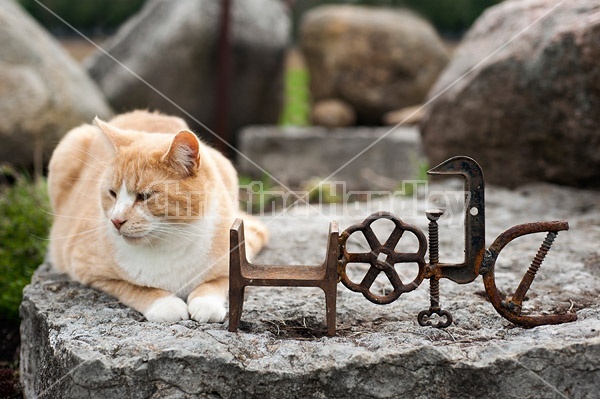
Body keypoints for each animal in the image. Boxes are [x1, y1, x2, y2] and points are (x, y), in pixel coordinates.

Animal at [48, 111, 268, 324]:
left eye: (144, 196)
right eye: (112, 193)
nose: (116, 221)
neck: (170, 242)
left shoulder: (233, 258)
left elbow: (216, 283)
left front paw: (206, 303)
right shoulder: (88, 270)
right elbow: (134, 288)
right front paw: (165, 304)